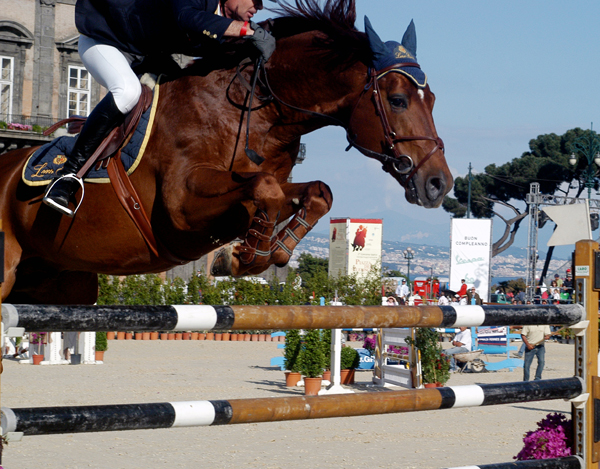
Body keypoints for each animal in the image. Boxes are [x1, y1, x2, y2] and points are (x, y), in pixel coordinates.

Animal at [0, 0, 450, 304]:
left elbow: (315, 192)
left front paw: (263, 251)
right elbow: (266, 188)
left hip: (60, 280)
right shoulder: (180, 204)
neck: (255, 110)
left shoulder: (267, 183)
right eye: (397, 100)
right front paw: (243, 257)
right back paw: (62, 188)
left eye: (432, 100)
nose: (438, 184)